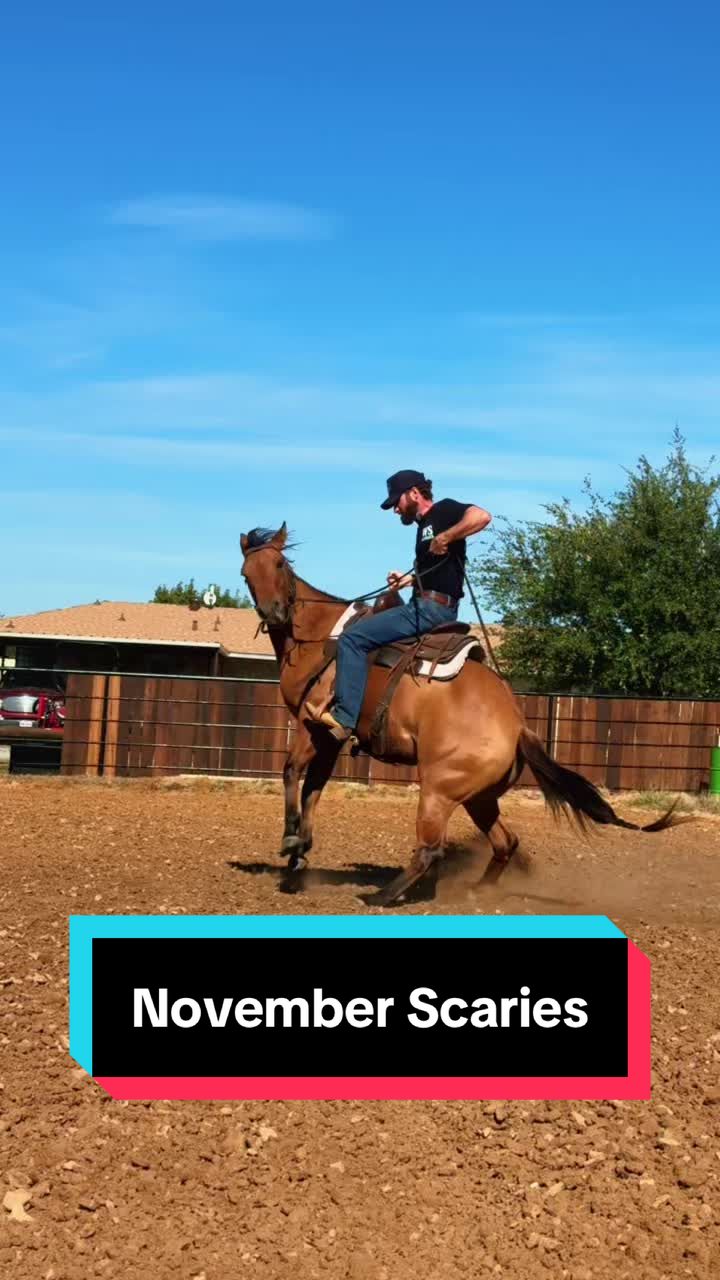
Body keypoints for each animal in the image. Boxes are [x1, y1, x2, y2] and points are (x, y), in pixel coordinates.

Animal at [240, 522, 679, 907]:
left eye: (278, 565)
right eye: (246, 574)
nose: (275, 613)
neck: (319, 637)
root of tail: (518, 726)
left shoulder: (312, 725)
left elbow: (292, 773)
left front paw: (291, 840)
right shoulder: (330, 739)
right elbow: (313, 787)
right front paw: (299, 855)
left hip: (438, 789)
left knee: (430, 851)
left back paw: (380, 896)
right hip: (477, 797)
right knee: (505, 842)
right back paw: (474, 893)